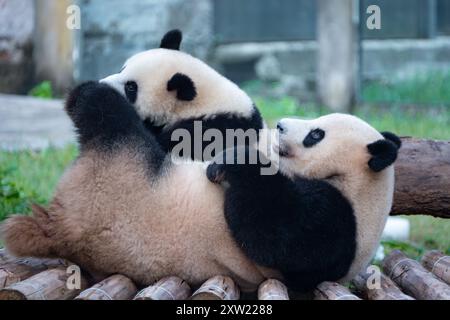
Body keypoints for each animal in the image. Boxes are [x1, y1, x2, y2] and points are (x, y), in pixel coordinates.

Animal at [0, 82, 400, 292]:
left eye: (316, 134)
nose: (282, 124)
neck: (362, 190)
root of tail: (63, 226)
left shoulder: (339, 225)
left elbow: (276, 235)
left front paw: (231, 162)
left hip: (123, 172)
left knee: (111, 121)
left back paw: (92, 93)